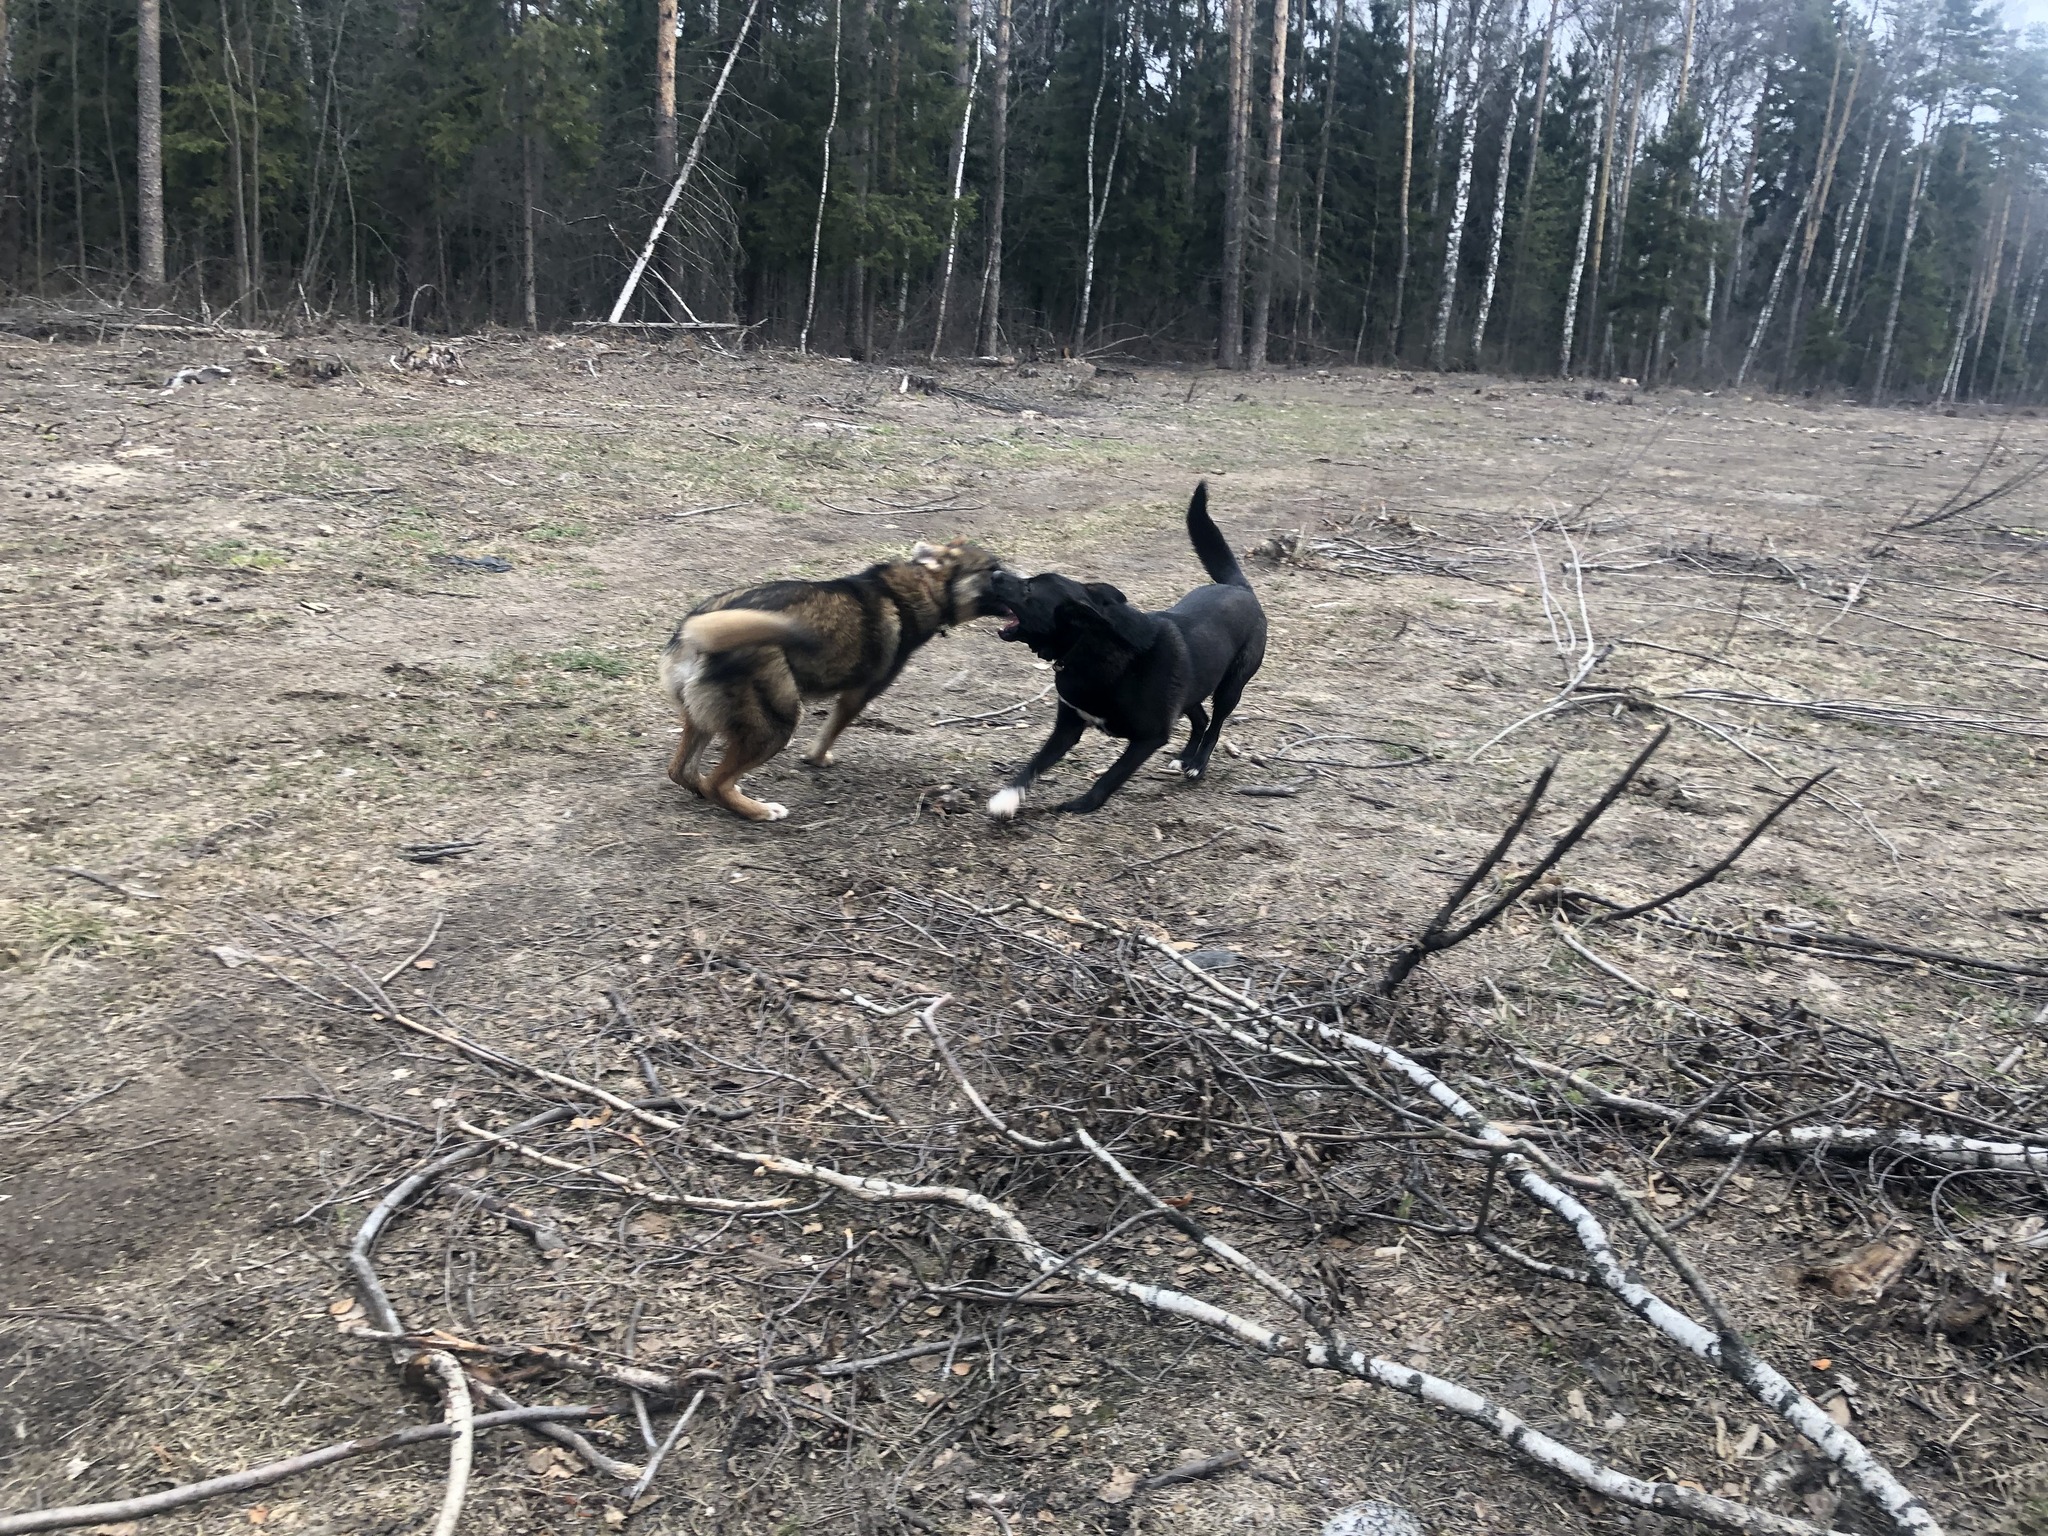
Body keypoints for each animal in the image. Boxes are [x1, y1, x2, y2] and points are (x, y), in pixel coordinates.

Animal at [659, 544, 1003, 823]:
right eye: (993, 569)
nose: (1017, 579)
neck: (919, 587)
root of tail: (694, 637)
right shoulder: (858, 695)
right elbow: (830, 732)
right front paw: (817, 758)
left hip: (703, 719)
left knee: (683, 771)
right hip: (776, 725)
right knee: (716, 783)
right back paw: (759, 810)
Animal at [978, 481, 1253, 823]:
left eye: (1029, 589)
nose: (994, 574)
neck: (1089, 647)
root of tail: (1240, 587)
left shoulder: (1149, 737)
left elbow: (1112, 775)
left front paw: (1083, 803)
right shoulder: (1068, 727)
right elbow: (1036, 762)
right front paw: (1008, 797)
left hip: (1231, 687)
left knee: (1214, 724)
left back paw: (1197, 764)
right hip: (1193, 686)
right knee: (1200, 718)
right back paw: (1185, 757)